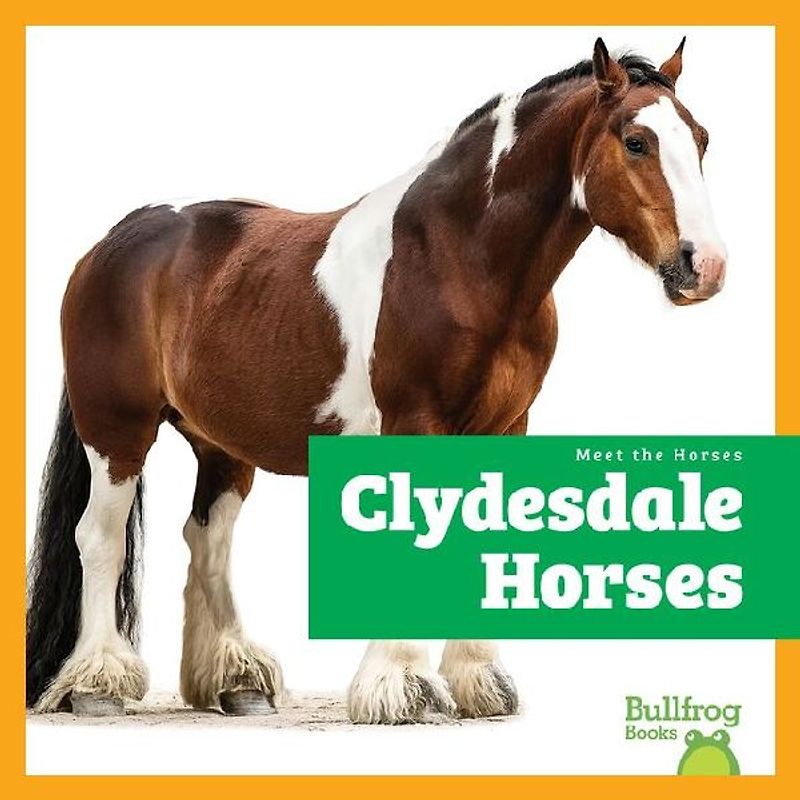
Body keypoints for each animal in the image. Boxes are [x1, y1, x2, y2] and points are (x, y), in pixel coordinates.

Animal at [26, 38, 726, 723]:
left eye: (701, 138)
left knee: (208, 540)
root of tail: (115, 240)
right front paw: (403, 686)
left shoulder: (504, 426)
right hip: (117, 431)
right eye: (635, 141)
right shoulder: (414, 421)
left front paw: (477, 681)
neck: (458, 257)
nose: (705, 266)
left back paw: (238, 681)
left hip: (220, 444)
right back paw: (97, 683)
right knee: (100, 538)